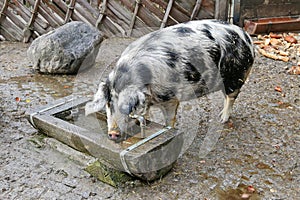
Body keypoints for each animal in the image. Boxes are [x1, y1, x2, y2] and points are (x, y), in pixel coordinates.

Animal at [85, 18, 254, 141]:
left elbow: (170, 119)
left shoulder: (170, 98)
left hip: (236, 75)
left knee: (231, 97)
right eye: (108, 103)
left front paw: (168, 132)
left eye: (128, 104)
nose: (113, 134)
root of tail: (245, 36)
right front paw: (141, 121)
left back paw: (222, 119)